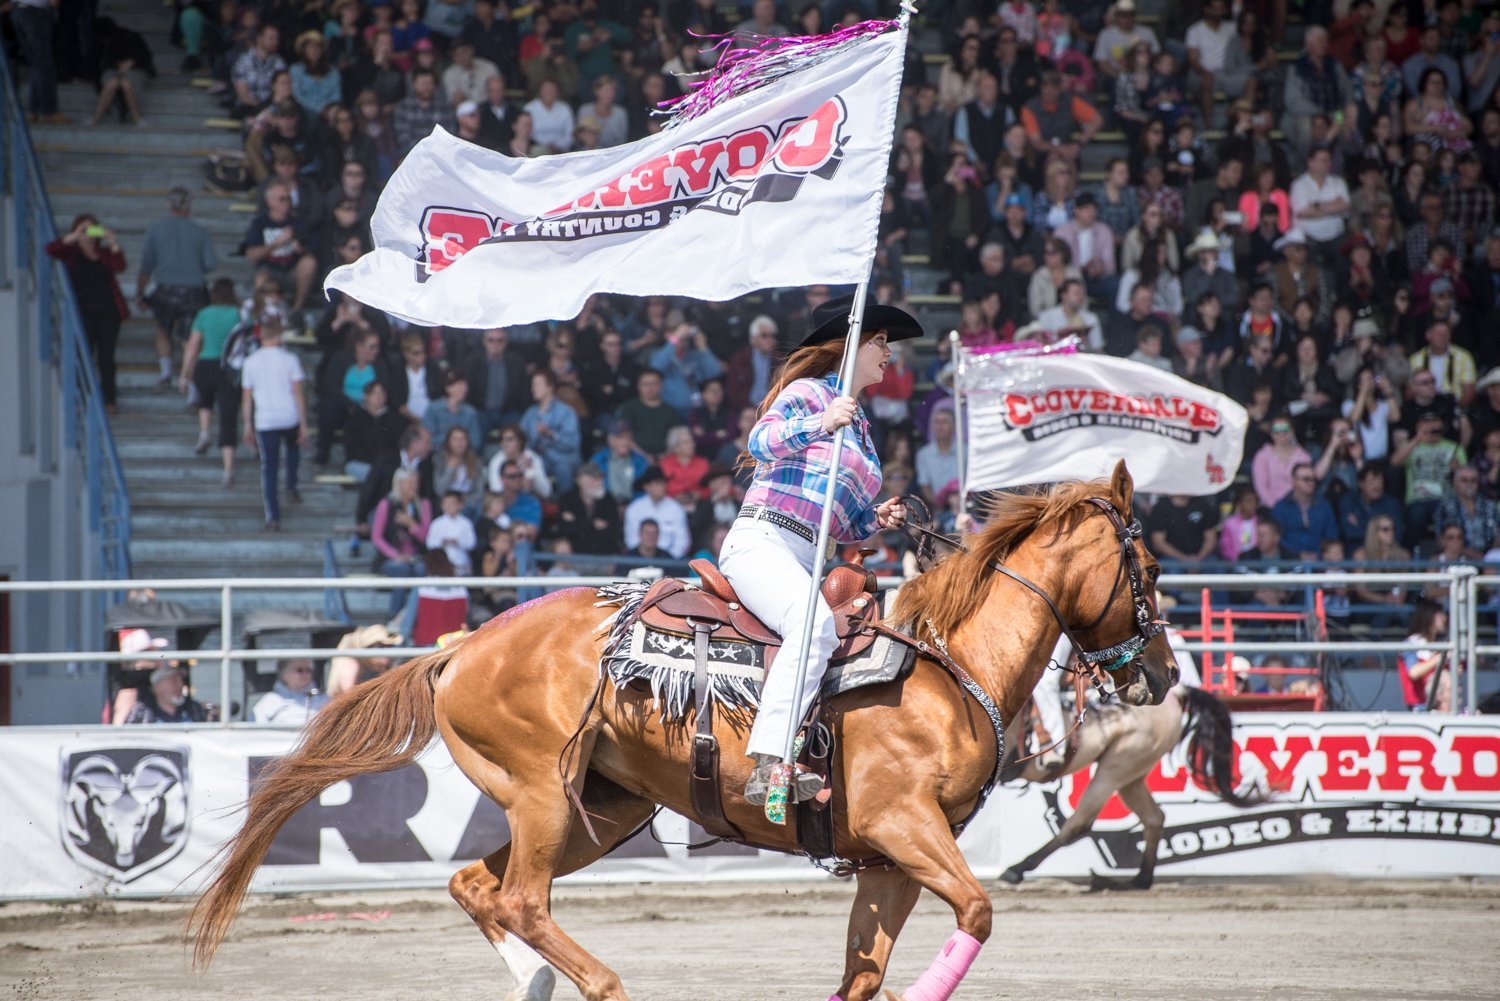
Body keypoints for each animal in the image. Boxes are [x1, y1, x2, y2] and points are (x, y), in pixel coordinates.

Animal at [187, 465, 1176, 1001]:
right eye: (1151, 565)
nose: (1163, 676)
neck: (942, 666)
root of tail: (462, 645)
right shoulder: (907, 828)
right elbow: (977, 909)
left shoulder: (886, 861)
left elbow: (864, 976)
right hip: (545, 794)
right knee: (522, 900)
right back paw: (600, 983)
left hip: (602, 806)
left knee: (478, 884)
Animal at [1002, 684, 1260, 888]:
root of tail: (1174, 693)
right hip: (1132, 776)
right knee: (1153, 818)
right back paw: (1140, 880)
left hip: (1114, 771)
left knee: (1079, 824)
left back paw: (1016, 869)